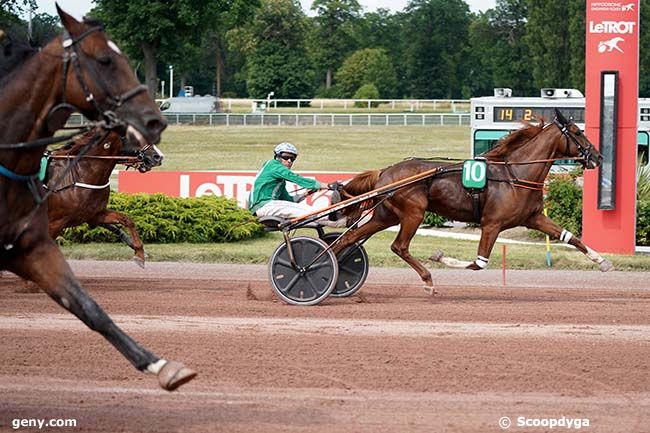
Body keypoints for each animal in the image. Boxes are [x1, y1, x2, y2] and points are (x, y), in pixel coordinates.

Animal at [45, 128, 162, 264]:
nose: (158, 156)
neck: (78, 175)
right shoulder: (54, 223)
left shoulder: (94, 214)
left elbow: (127, 220)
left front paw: (140, 253)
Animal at [332, 111, 612, 294]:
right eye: (577, 132)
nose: (598, 157)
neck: (515, 174)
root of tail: (385, 171)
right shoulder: (492, 224)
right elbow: (478, 263)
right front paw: (439, 256)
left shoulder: (534, 218)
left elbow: (570, 237)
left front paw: (602, 262)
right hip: (413, 212)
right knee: (399, 246)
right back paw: (428, 280)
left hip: (385, 215)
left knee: (349, 238)